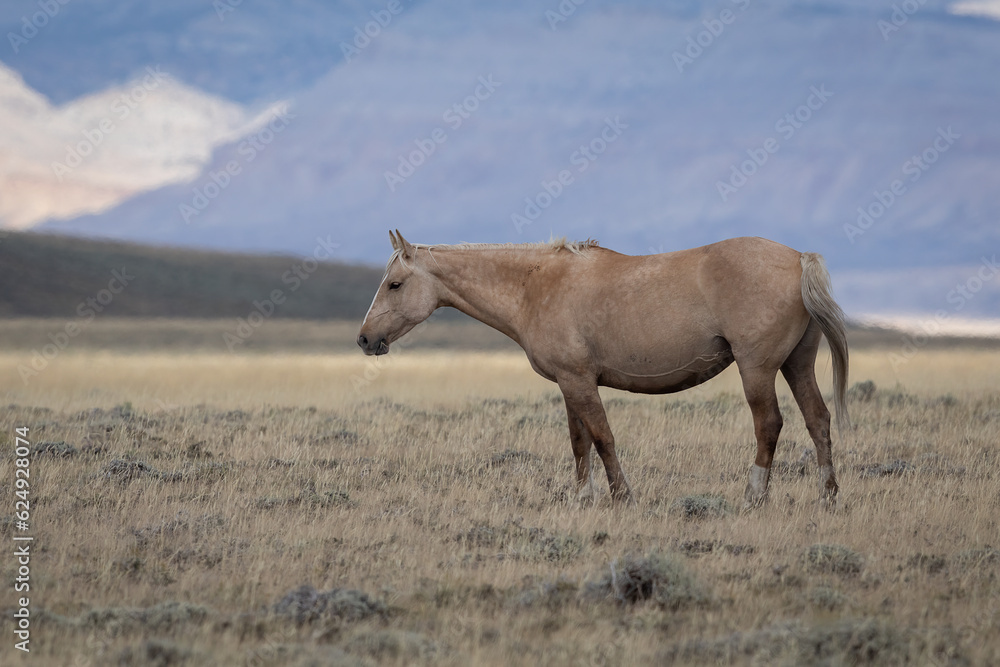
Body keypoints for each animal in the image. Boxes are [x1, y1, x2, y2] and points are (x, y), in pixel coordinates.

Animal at [356, 232, 848, 508]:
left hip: (757, 369)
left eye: (395, 284)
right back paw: (828, 496)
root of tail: (797, 257)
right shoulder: (569, 383)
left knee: (769, 425)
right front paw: (582, 498)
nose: (364, 339)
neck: (536, 285)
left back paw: (754, 497)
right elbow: (580, 443)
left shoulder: (579, 381)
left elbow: (602, 438)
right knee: (818, 420)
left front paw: (622, 497)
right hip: (796, 364)